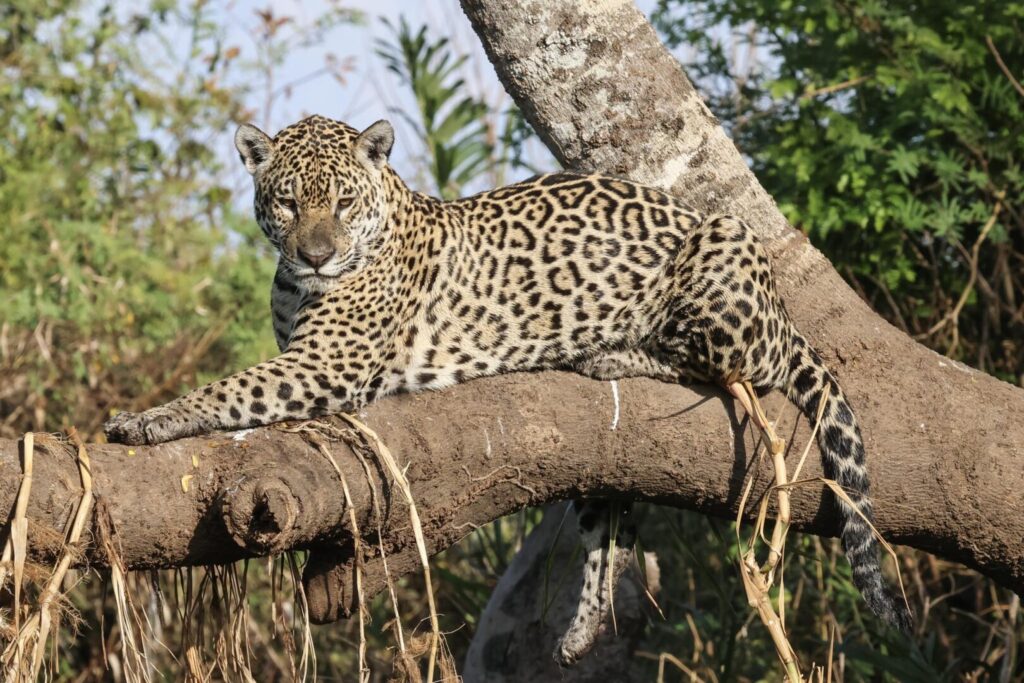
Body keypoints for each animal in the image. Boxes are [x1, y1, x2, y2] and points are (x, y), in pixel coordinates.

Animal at [105, 114, 912, 662]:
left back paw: (609, 350)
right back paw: (583, 627)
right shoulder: (306, 354)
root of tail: (782, 307)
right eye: (287, 202)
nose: (317, 253)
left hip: (721, 258)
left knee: (730, 365)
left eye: (341, 202)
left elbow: (231, 389)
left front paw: (147, 420)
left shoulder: (327, 363)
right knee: (613, 516)